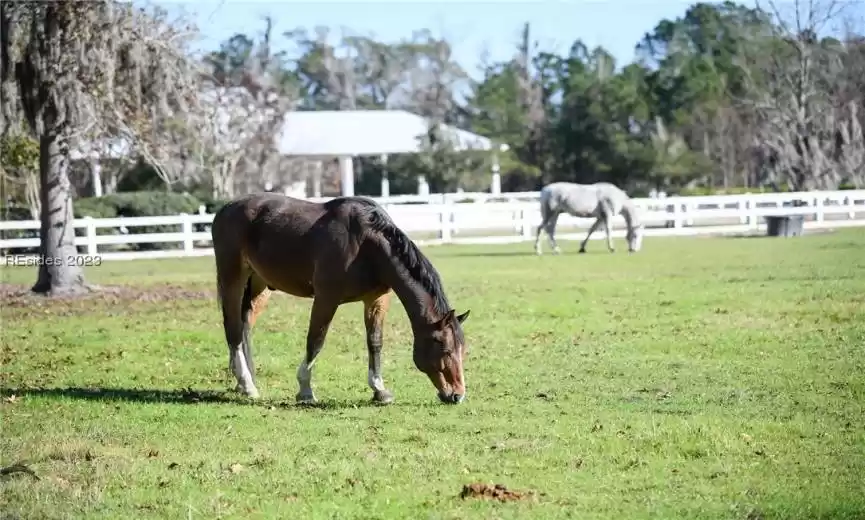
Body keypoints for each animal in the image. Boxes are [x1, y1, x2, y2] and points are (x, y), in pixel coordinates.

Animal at [210, 193, 472, 404]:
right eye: (446, 349)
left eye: (462, 349)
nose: (457, 395)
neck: (366, 244)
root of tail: (224, 210)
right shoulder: (326, 298)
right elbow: (316, 340)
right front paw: (305, 390)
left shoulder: (376, 300)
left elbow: (375, 342)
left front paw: (379, 390)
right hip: (233, 279)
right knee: (233, 329)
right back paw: (247, 385)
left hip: (259, 286)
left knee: (245, 326)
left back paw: (243, 382)